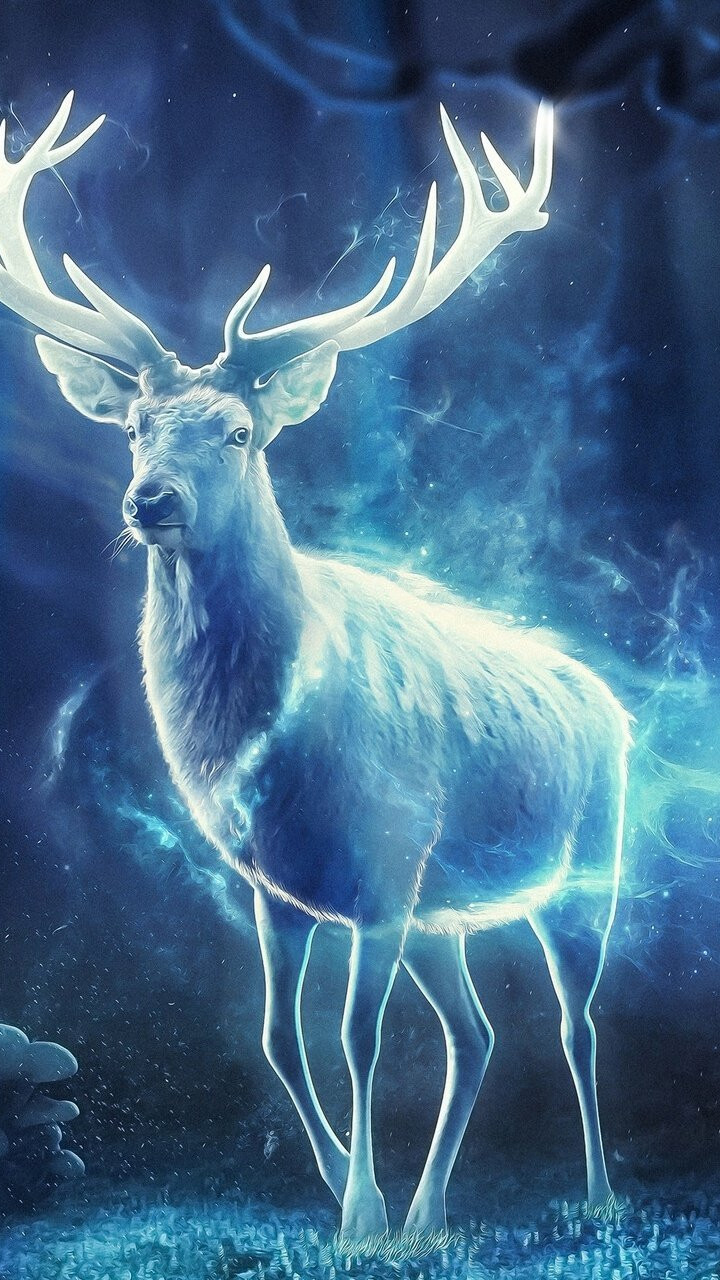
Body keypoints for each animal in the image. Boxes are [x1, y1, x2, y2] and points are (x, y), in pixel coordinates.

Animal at [0, 94, 629, 1239]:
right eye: (132, 425)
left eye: (241, 431)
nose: (149, 499)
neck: (270, 751)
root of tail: (615, 702)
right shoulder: (277, 888)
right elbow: (278, 1042)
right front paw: (355, 1199)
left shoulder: (380, 868)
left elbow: (357, 1042)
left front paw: (361, 1216)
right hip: (441, 910)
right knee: (478, 1033)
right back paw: (429, 1218)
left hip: (583, 864)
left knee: (578, 1023)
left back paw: (599, 1196)